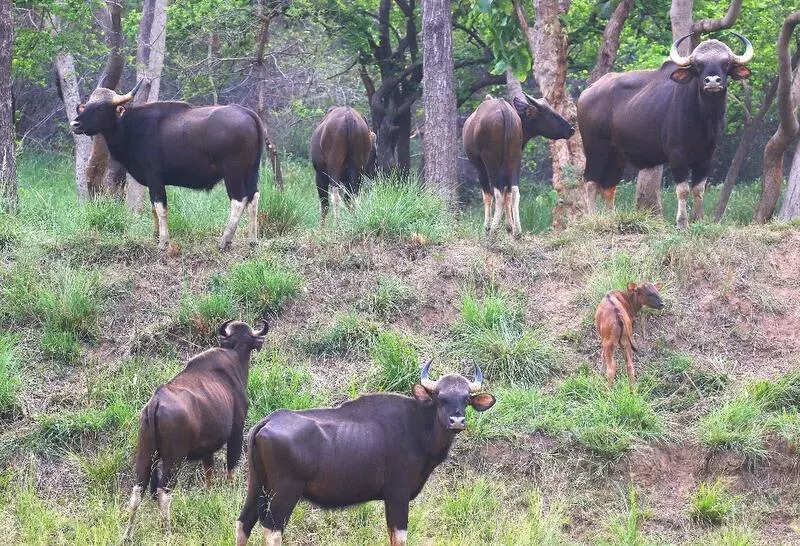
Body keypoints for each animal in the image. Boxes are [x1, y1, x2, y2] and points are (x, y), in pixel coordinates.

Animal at [71, 80, 266, 250]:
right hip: (252, 171)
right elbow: (152, 208)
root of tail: (250, 114)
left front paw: (163, 241)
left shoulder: (154, 177)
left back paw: (225, 240)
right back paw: (252, 240)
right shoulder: (151, 182)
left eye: (100, 108)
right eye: (86, 105)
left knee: (238, 200)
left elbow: (160, 207)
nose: (75, 123)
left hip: (233, 172)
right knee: (254, 197)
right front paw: (155, 235)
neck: (130, 127)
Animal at [123, 320, 268, 541]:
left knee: (138, 490)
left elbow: (208, 474)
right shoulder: (236, 431)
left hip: (146, 453)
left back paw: (128, 534)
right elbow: (231, 465)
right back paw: (168, 531)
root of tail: (156, 402)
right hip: (174, 459)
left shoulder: (207, 448)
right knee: (164, 492)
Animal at [234, 359, 496, 546]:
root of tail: (269, 420)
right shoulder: (397, 495)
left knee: (244, 523)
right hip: (285, 492)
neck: (418, 428)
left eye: (466, 399)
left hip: (256, 484)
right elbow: (399, 539)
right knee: (272, 530)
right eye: (441, 397)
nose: (457, 420)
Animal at [462, 94, 574, 237]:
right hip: (514, 158)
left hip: (491, 161)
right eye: (552, 114)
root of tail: (504, 110)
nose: (571, 129)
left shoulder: (479, 166)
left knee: (498, 194)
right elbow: (508, 193)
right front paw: (509, 227)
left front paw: (487, 227)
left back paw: (493, 229)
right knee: (514, 191)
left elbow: (488, 195)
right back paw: (517, 231)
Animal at [577, 33, 753, 227]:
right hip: (595, 150)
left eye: (726, 64)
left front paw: (698, 219)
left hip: (617, 155)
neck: (703, 118)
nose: (713, 81)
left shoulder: (706, 157)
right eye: (698, 65)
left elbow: (699, 189)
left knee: (608, 186)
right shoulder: (677, 155)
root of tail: (586, 93)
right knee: (590, 182)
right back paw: (592, 218)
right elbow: (683, 190)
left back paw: (611, 219)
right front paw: (682, 222)